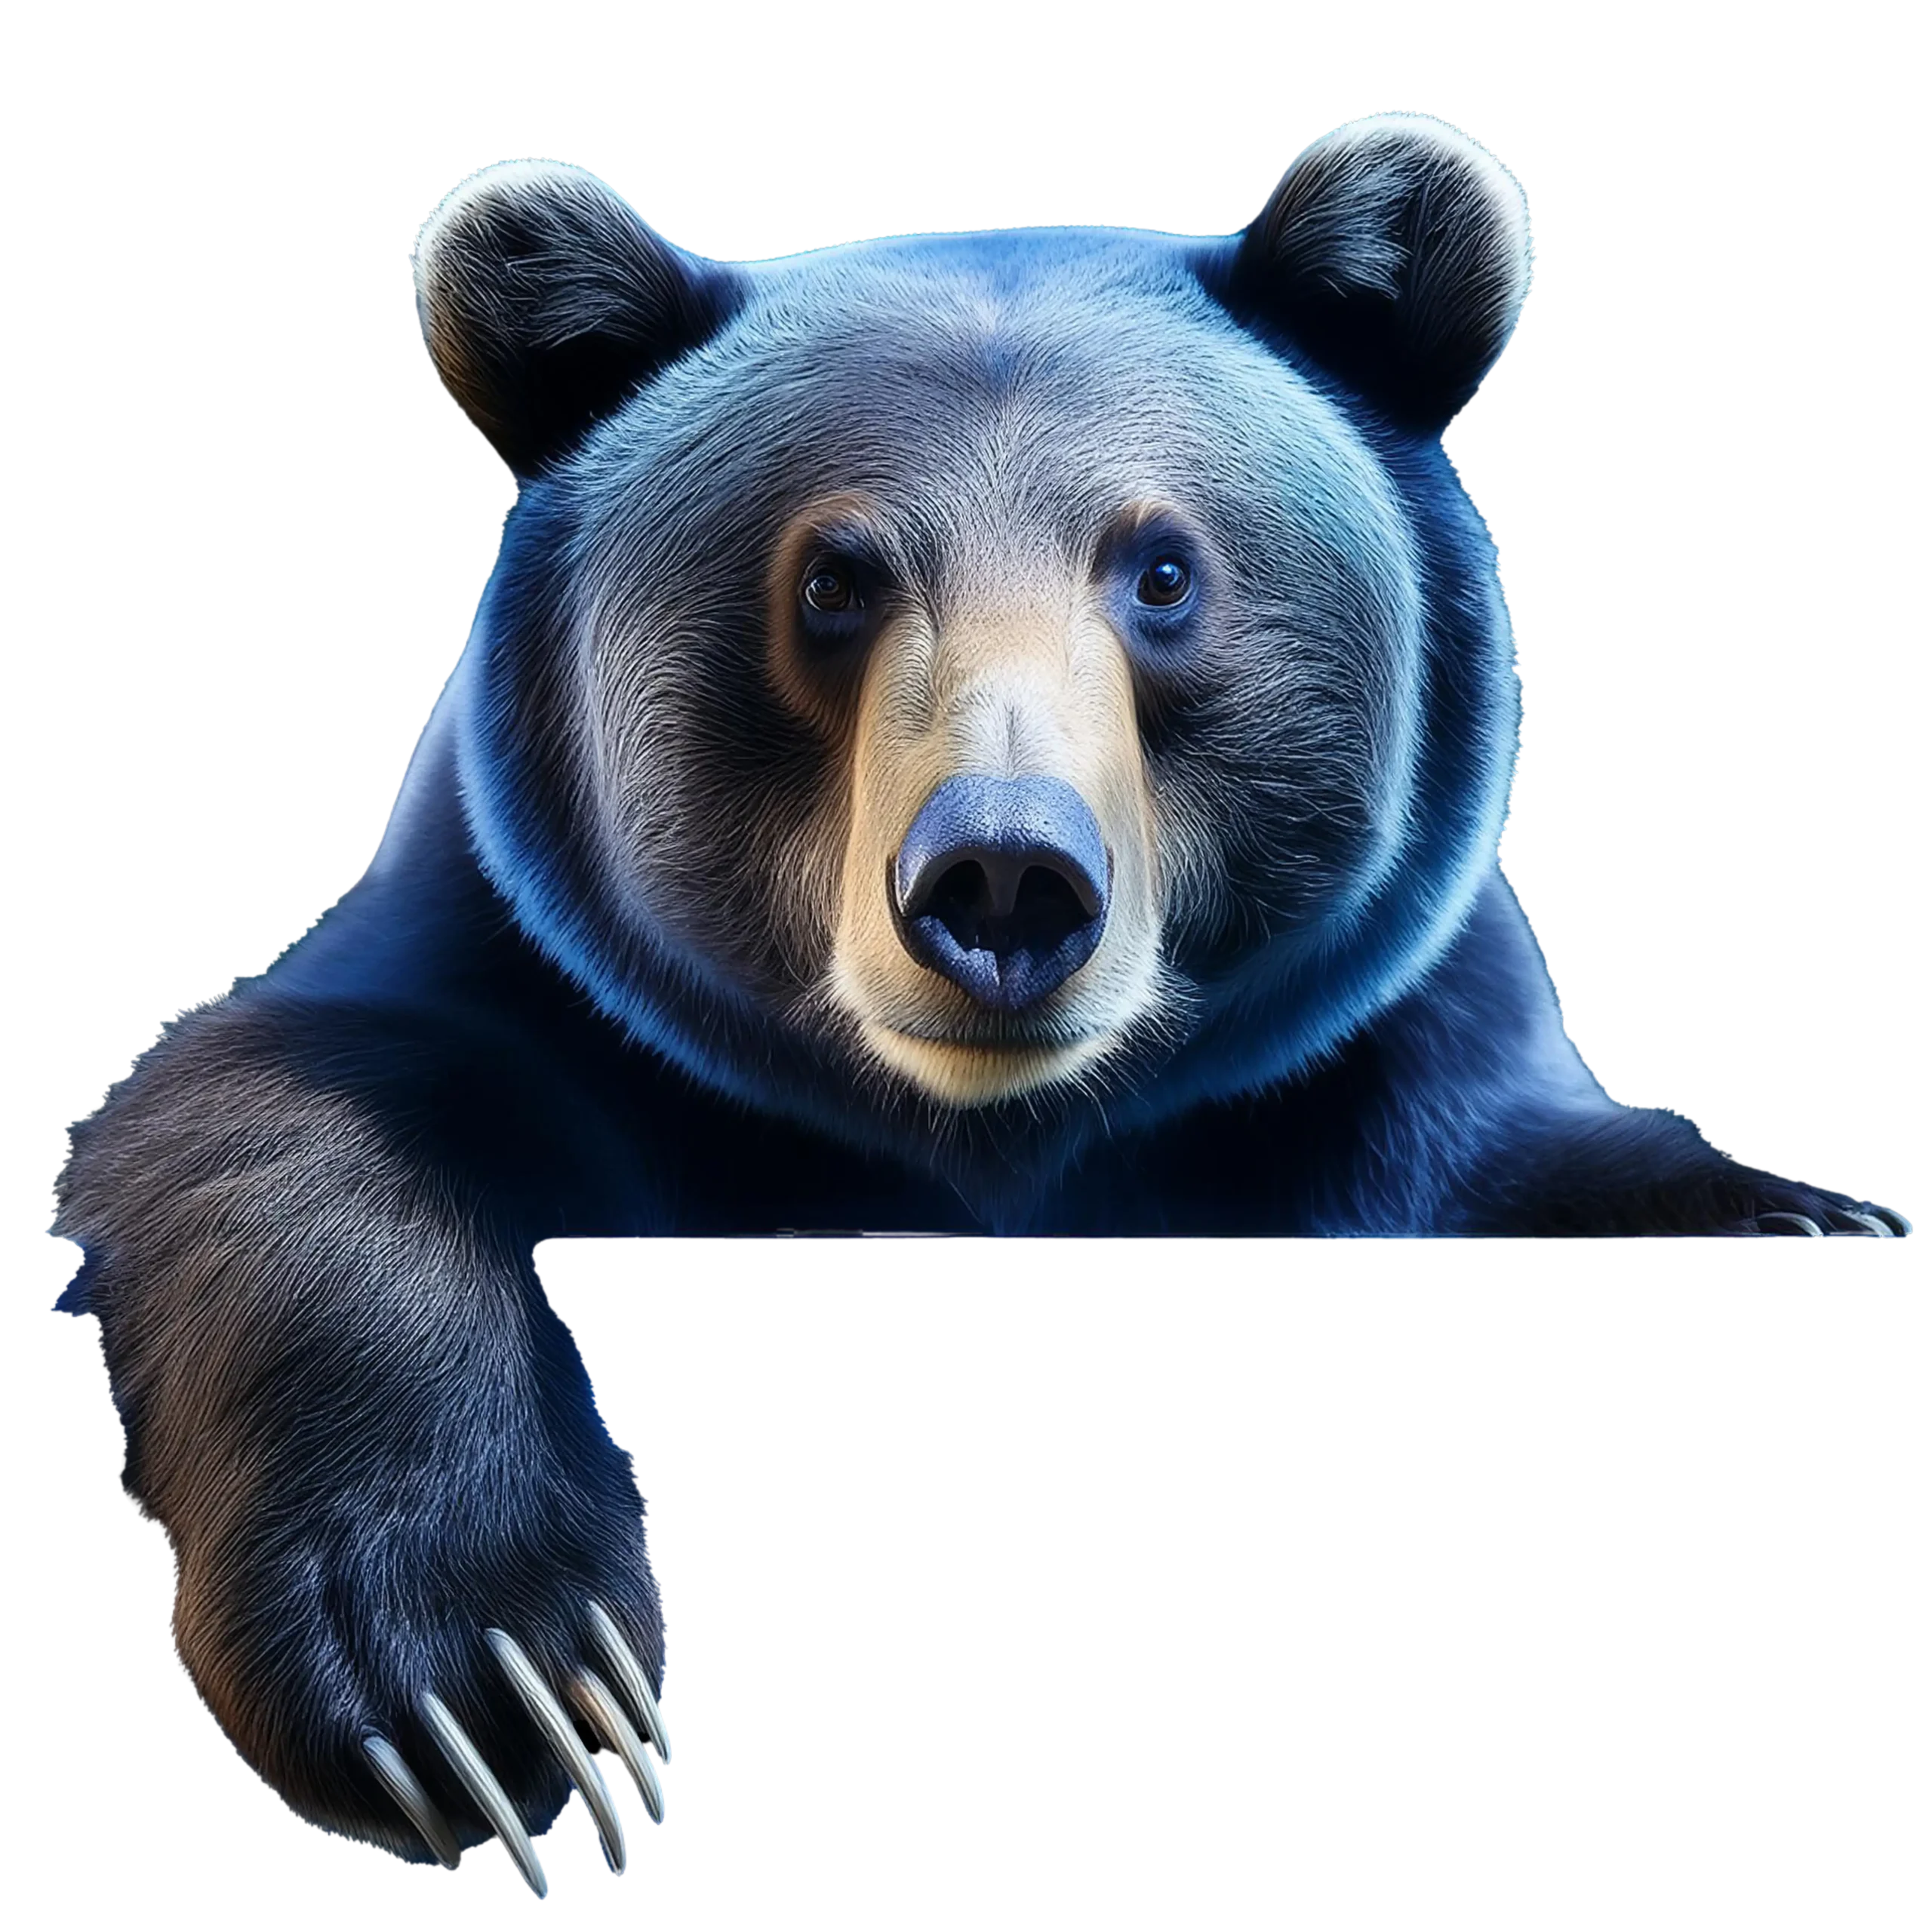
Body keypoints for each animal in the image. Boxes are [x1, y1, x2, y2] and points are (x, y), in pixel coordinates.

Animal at [49, 112, 1913, 1893]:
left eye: (1161, 571)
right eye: (834, 579)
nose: (1003, 880)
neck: (996, 1144)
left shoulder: (1372, 1038)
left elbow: (1502, 1143)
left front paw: (1800, 1220)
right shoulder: (530, 973)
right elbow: (276, 1099)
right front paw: (495, 1677)